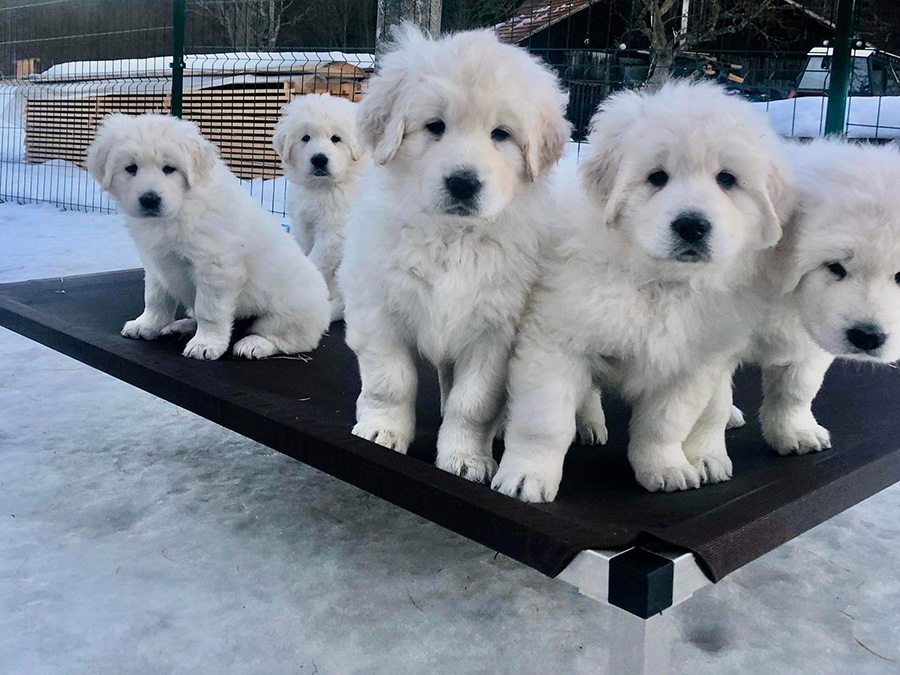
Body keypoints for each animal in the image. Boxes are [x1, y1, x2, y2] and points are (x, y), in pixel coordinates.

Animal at [86, 113, 332, 362]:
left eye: (169, 169)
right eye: (131, 168)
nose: (150, 199)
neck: (181, 206)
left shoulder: (215, 267)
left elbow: (209, 311)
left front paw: (206, 344)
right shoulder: (156, 261)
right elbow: (155, 298)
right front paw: (146, 325)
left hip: (290, 311)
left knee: (286, 338)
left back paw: (254, 344)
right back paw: (180, 327)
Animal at [272, 92, 368, 322]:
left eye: (336, 138)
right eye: (305, 138)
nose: (319, 159)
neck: (322, 188)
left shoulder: (334, 233)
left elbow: (315, 260)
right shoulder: (302, 225)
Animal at [338, 25, 568, 480]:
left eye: (501, 134)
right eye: (435, 126)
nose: (463, 183)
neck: (453, 237)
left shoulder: (497, 334)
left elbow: (474, 402)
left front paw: (465, 458)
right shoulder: (378, 309)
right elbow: (390, 382)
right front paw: (382, 431)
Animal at [488, 82, 792, 500]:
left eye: (727, 180)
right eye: (657, 177)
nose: (692, 226)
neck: (657, 281)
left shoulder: (689, 364)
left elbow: (664, 425)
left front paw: (665, 467)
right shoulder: (555, 343)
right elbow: (544, 422)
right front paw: (526, 476)